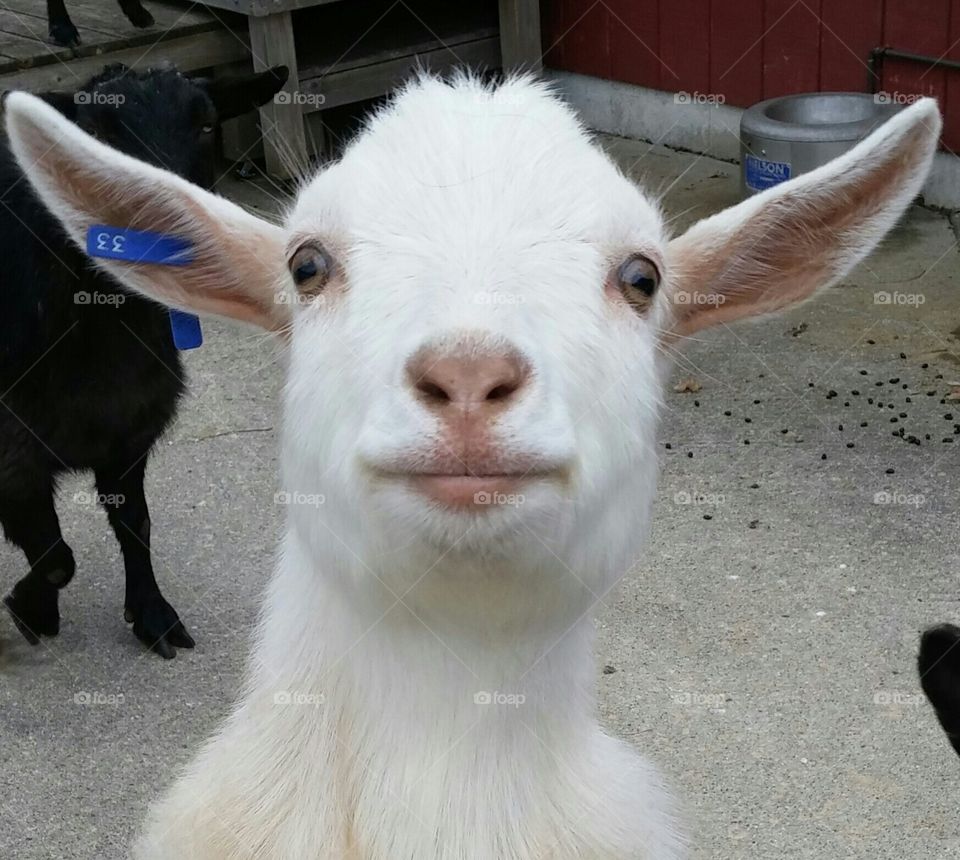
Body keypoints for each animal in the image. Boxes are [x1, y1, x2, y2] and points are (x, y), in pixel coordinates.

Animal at [0, 63, 287, 659]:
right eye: (93, 131)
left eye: (207, 124)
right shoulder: (13, 451)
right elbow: (56, 558)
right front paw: (30, 608)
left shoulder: (129, 432)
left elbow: (136, 524)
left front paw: (153, 615)